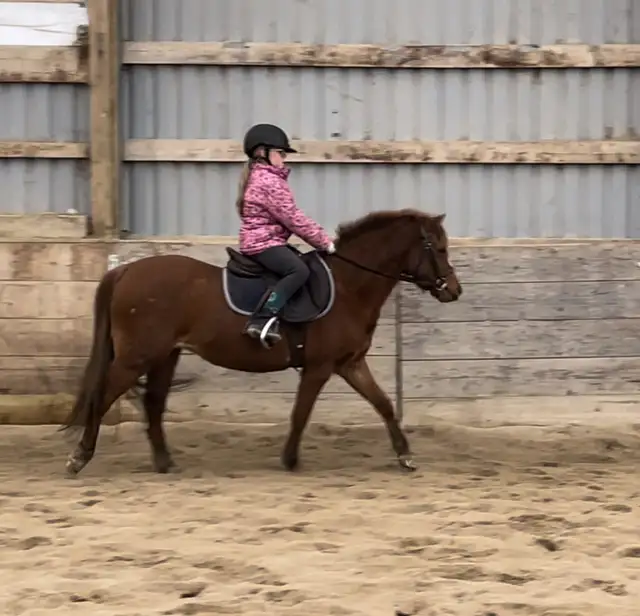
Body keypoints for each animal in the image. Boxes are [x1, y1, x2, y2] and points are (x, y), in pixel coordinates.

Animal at [61, 208, 462, 476]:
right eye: (439, 248)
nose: (454, 291)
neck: (348, 286)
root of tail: (125, 269)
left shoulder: (350, 364)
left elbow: (384, 405)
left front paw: (405, 456)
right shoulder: (319, 367)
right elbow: (300, 413)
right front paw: (290, 460)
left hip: (164, 356)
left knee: (154, 404)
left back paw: (165, 462)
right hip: (136, 358)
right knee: (102, 397)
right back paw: (79, 458)